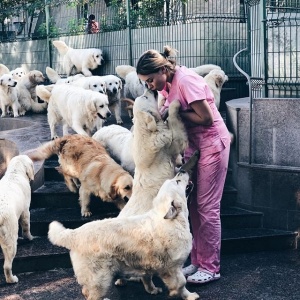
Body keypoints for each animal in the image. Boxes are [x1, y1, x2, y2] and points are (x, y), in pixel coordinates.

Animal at [0, 155, 34, 284]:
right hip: (9, 230)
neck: (14, 172)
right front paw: (29, 237)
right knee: (7, 263)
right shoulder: (25, 209)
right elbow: (26, 224)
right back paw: (12, 279)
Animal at [48, 171, 199, 300]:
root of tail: (74, 233)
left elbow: (147, 277)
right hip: (99, 279)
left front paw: (152, 289)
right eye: (178, 181)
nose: (182, 171)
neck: (173, 221)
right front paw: (188, 295)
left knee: (85, 291)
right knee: (92, 295)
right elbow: (181, 283)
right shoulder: (173, 267)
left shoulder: (147, 261)